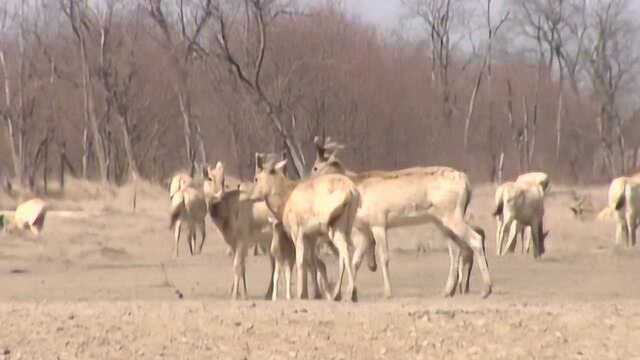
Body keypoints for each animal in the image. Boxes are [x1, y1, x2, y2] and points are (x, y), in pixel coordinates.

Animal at [240, 154, 362, 300]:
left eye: (256, 178)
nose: (244, 196)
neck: (288, 196)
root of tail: (351, 190)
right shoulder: (311, 237)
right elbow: (311, 262)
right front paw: (314, 294)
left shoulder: (297, 233)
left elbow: (300, 260)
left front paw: (301, 294)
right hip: (345, 229)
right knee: (344, 255)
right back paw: (340, 294)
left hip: (335, 230)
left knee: (344, 253)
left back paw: (348, 294)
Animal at [310, 137, 490, 298]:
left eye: (315, 167)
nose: (308, 181)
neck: (358, 189)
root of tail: (466, 181)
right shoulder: (365, 231)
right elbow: (355, 260)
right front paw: (345, 293)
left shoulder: (378, 223)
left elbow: (384, 257)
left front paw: (387, 293)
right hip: (441, 221)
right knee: (455, 250)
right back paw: (447, 291)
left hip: (452, 216)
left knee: (475, 239)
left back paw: (486, 289)